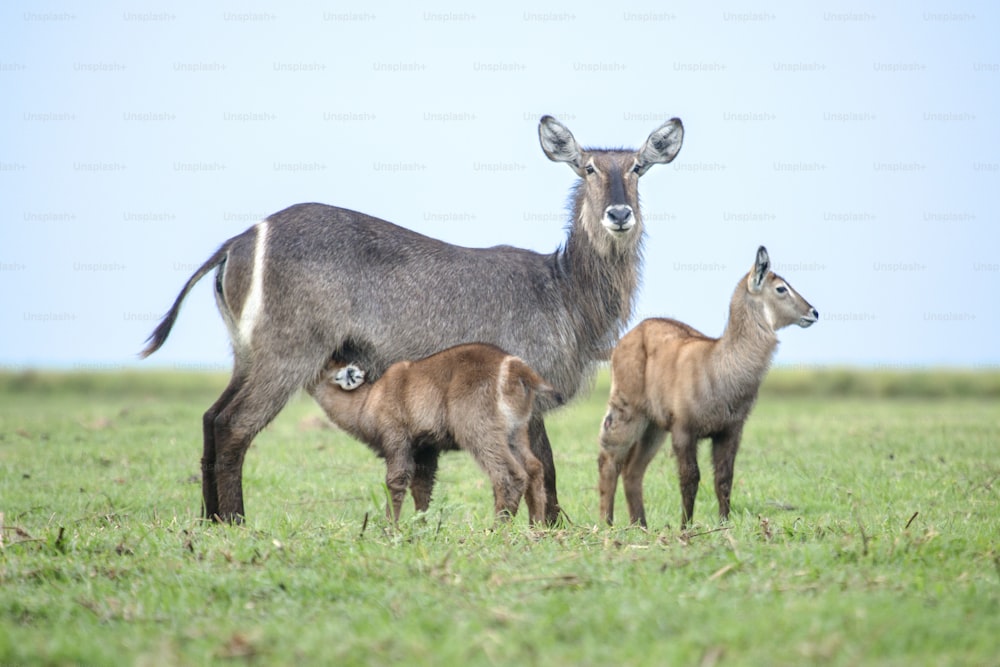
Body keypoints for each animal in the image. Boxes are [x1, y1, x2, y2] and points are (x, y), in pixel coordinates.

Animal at [310, 344, 564, 528]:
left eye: (324, 366)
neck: (367, 401)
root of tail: (514, 367)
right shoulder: (424, 449)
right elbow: (422, 488)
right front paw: (421, 528)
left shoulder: (397, 441)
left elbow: (396, 482)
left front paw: (390, 529)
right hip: (516, 433)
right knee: (534, 468)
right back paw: (535, 529)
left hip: (479, 431)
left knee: (510, 476)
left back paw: (498, 530)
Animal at [596, 245, 816, 528]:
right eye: (781, 288)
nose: (814, 312)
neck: (720, 364)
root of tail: (626, 338)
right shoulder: (684, 430)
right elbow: (690, 478)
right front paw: (685, 527)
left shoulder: (730, 430)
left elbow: (723, 479)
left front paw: (723, 525)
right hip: (627, 410)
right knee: (609, 459)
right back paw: (606, 523)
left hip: (654, 427)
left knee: (632, 470)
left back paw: (640, 526)